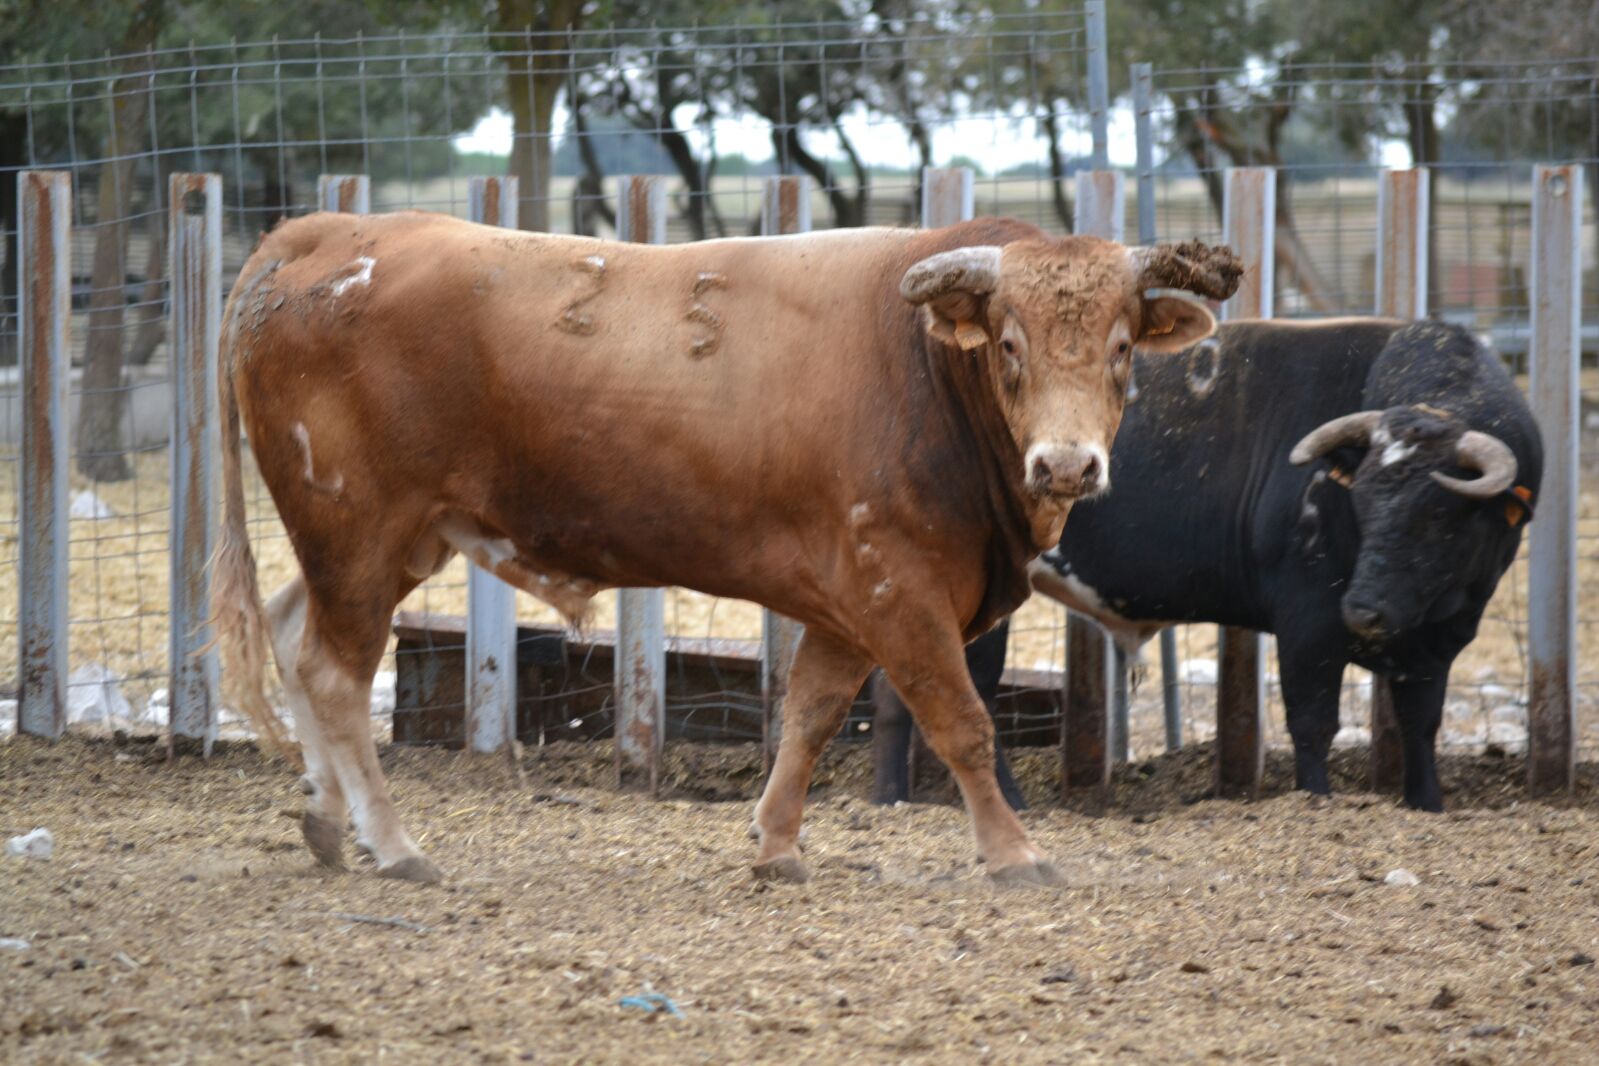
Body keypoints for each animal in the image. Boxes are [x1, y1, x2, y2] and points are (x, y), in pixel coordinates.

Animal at [212, 212, 1234, 888]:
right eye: (1011, 344)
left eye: (1120, 348)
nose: (1066, 462)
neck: (927, 371)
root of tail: (325, 232)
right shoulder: (897, 587)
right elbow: (962, 725)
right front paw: (1014, 853)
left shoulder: (850, 601)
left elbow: (810, 714)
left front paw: (777, 843)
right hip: (359, 530)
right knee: (334, 673)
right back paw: (394, 845)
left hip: (382, 544)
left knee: (294, 636)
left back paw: (325, 820)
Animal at [869, 321, 1541, 811]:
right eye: (1364, 498)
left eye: (1439, 513)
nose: (1364, 609)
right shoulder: (1309, 625)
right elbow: (1312, 723)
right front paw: (1316, 800)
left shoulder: (1436, 645)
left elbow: (1421, 727)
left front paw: (1427, 803)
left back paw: (898, 796)